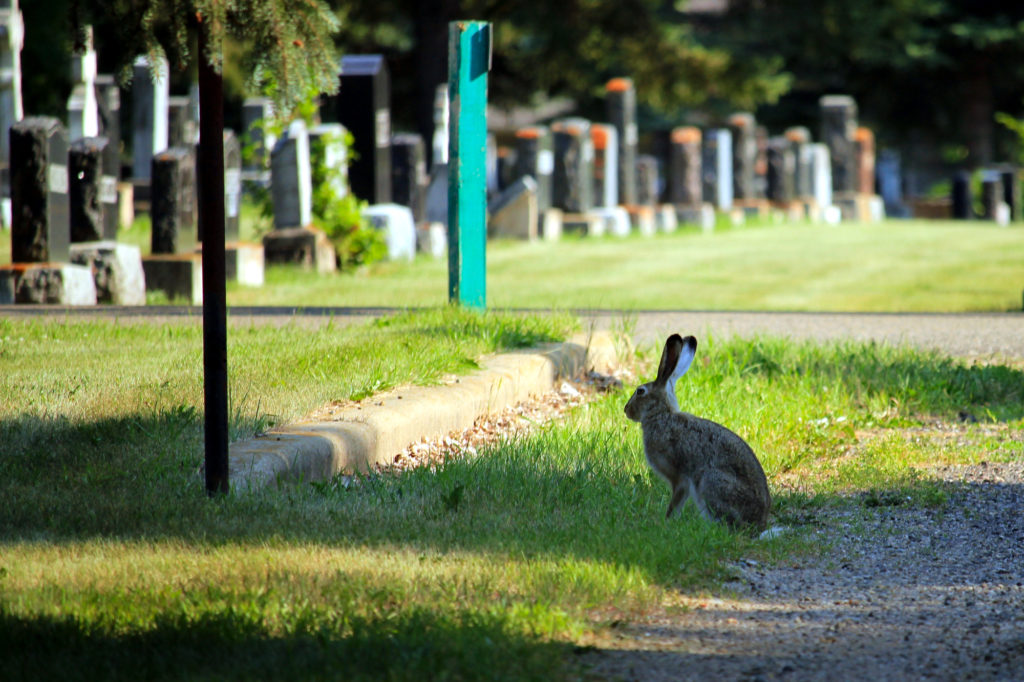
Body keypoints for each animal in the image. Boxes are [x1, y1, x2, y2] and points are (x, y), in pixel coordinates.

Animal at [624, 333, 771, 534]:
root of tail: (759, 523)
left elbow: (675, 502)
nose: (626, 410)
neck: (662, 415)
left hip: (710, 481)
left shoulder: (679, 478)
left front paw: (666, 522)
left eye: (640, 391)